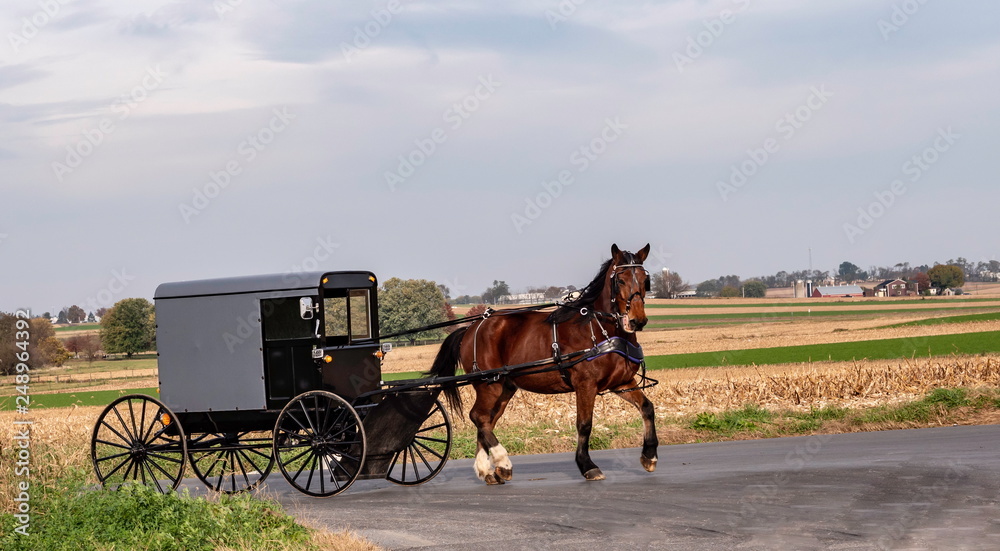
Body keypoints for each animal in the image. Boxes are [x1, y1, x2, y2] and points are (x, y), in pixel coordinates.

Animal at [426, 243, 658, 484]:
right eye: (620, 280)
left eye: (645, 280)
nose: (637, 320)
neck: (598, 329)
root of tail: (470, 329)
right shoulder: (586, 385)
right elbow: (584, 424)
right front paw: (587, 465)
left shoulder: (621, 382)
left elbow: (647, 408)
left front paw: (649, 456)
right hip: (488, 385)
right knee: (478, 416)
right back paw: (502, 462)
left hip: (504, 387)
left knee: (487, 420)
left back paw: (488, 470)